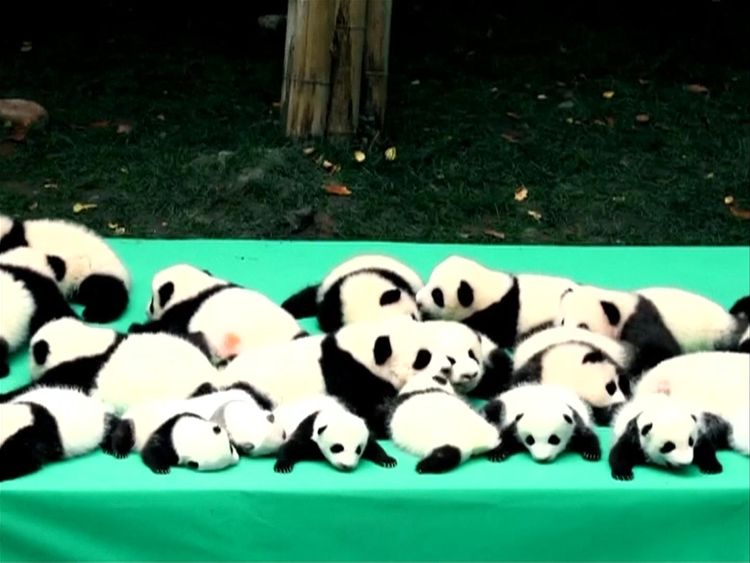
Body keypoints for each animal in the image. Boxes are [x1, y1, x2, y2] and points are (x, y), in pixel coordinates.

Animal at [128, 264, 304, 364]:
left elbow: (167, 328)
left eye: (152, 300)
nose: (146, 310)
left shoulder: (184, 313)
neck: (197, 288)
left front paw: (137, 327)